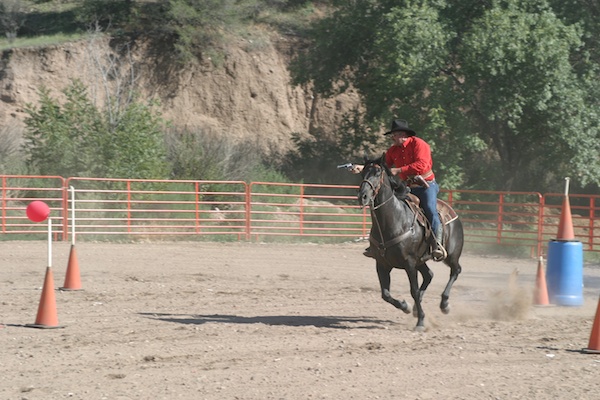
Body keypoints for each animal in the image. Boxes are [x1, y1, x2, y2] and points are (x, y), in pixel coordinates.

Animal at [356, 153, 464, 332]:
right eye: (362, 172)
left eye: (378, 173)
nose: (363, 196)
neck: (395, 220)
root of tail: (454, 214)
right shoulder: (382, 264)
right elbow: (385, 294)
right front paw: (405, 306)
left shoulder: (409, 263)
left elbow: (413, 290)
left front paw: (420, 321)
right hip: (421, 260)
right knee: (429, 275)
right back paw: (414, 308)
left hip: (451, 255)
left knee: (455, 271)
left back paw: (444, 304)